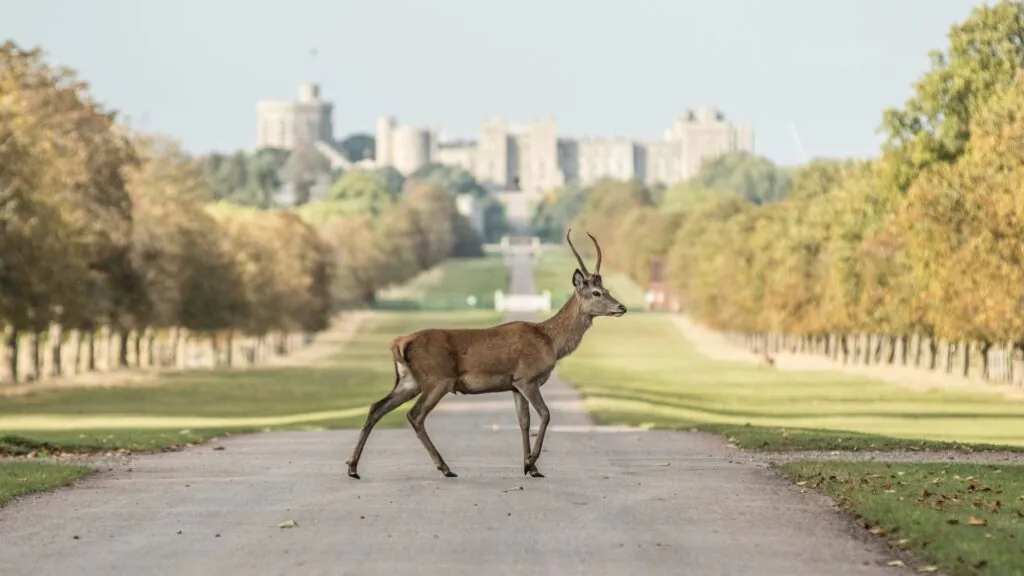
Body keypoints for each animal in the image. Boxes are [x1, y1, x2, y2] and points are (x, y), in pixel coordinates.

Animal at [348, 226, 626, 477]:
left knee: (376, 407)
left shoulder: (514, 384)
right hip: (438, 379)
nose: (621, 307)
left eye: (608, 289)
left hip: (409, 380)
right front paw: (531, 462)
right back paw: (445, 468)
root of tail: (399, 343)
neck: (550, 342)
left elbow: (523, 422)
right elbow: (545, 414)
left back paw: (353, 468)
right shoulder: (527, 378)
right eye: (596, 292)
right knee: (415, 415)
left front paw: (531, 467)